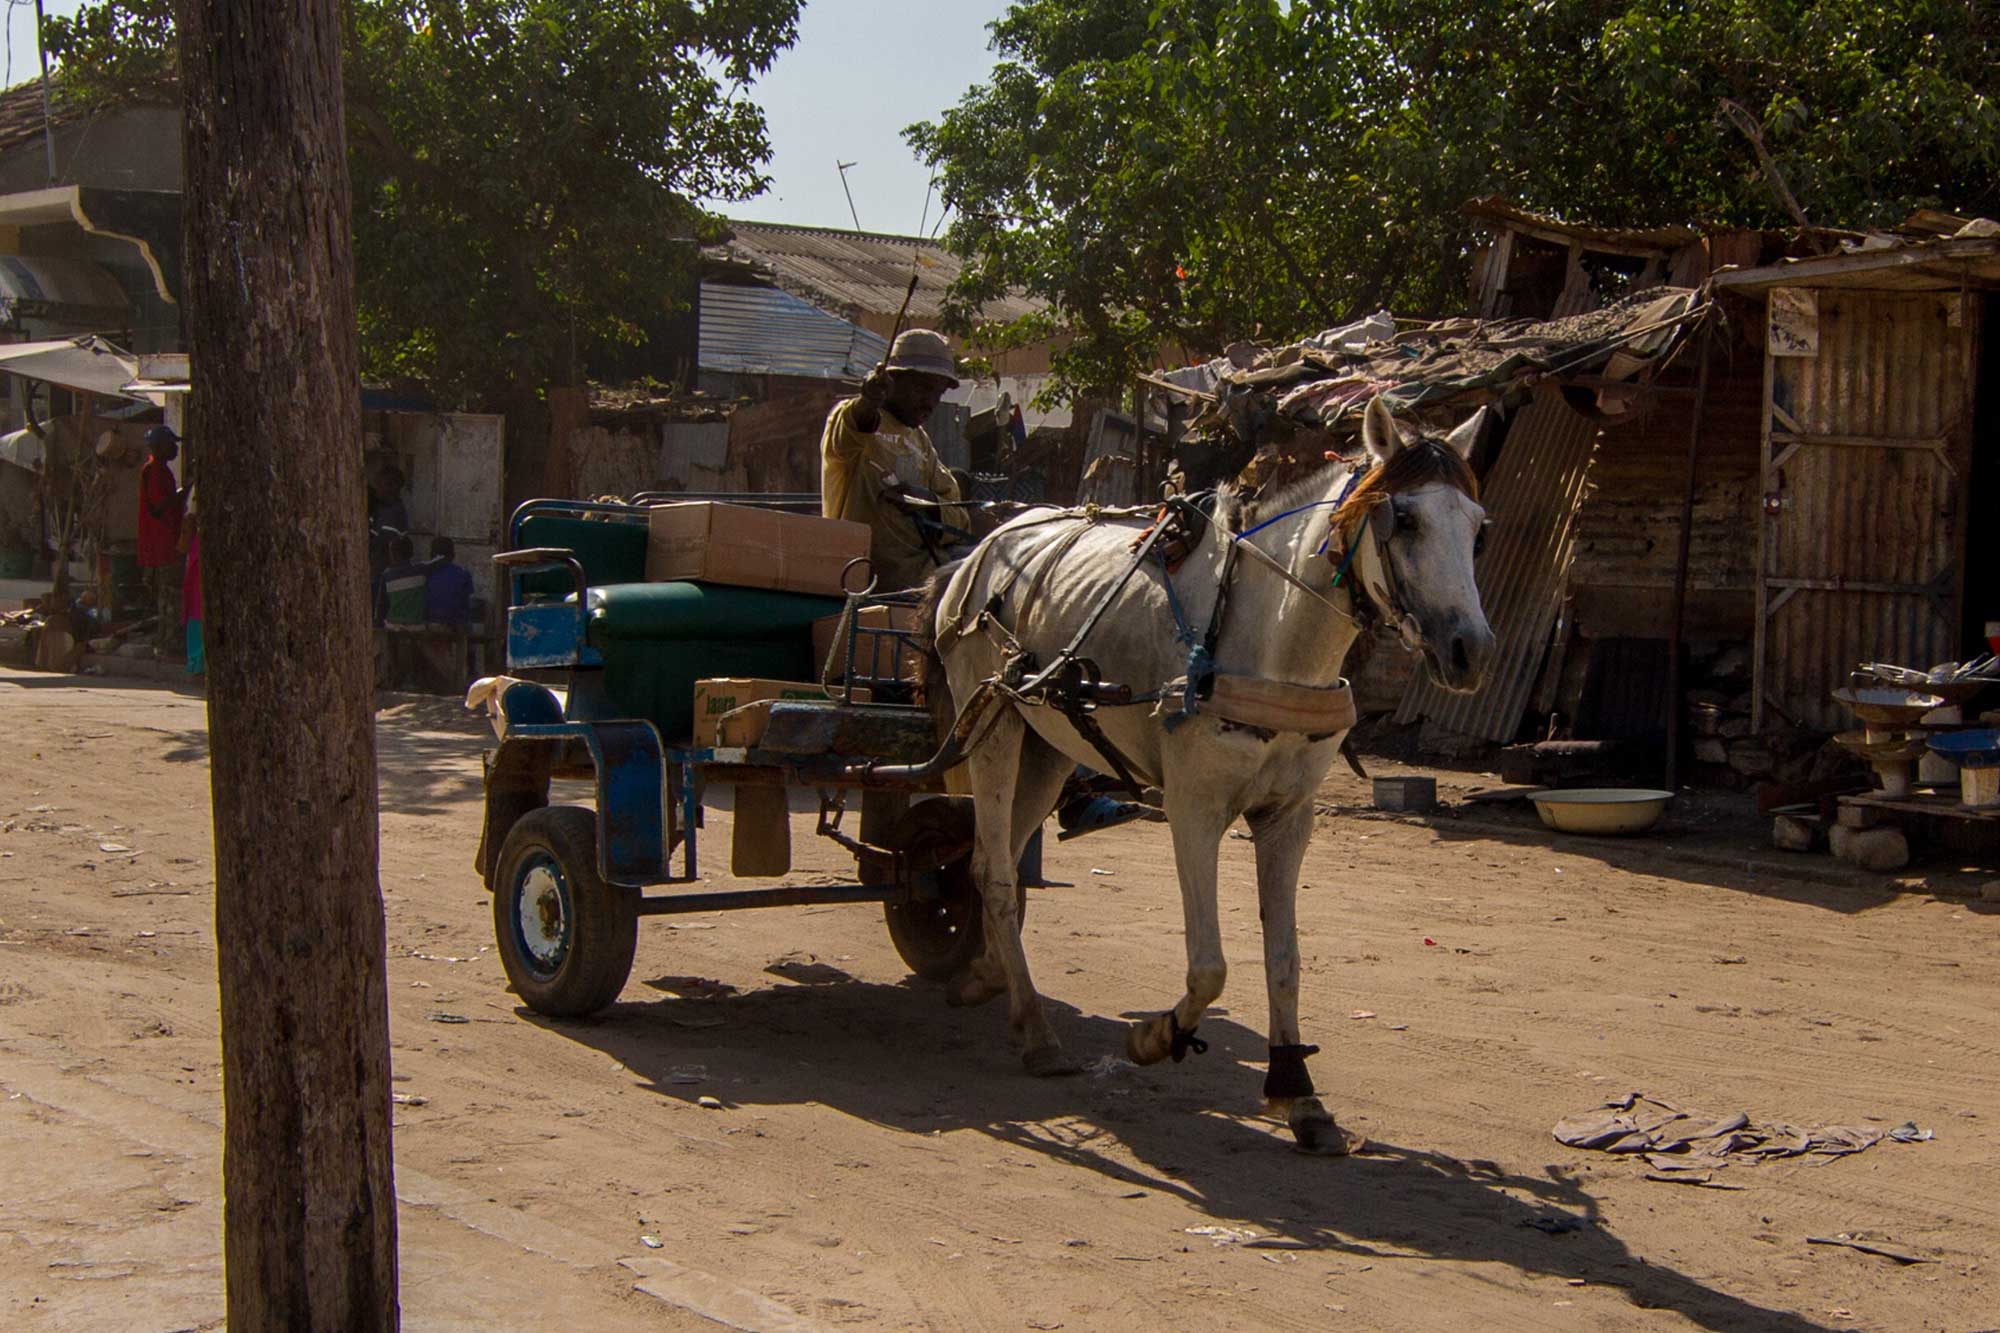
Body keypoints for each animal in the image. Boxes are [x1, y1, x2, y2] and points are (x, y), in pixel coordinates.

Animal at [928, 396, 1496, 1152]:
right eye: (1403, 519)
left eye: (1478, 530)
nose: (1471, 650)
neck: (1266, 638)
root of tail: (982, 549)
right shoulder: (1192, 809)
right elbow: (1211, 967)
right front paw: (1154, 1036)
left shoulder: (1289, 818)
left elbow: (1284, 960)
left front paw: (1297, 1091)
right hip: (990, 721)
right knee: (992, 868)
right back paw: (1038, 1033)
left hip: (1047, 743)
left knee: (999, 858)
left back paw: (990, 977)